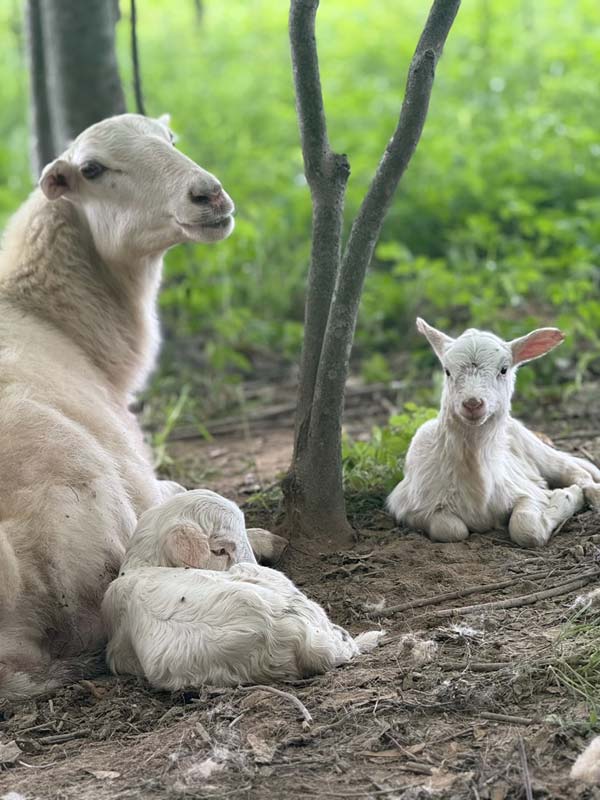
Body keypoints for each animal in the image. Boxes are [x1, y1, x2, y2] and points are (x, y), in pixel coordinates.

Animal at [387, 319, 600, 548]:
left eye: (504, 369)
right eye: (447, 371)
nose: (472, 403)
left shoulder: (523, 489)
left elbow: (526, 527)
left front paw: (568, 496)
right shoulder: (407, 505)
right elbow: (450, 529)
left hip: (537, 449)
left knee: (579, 472)